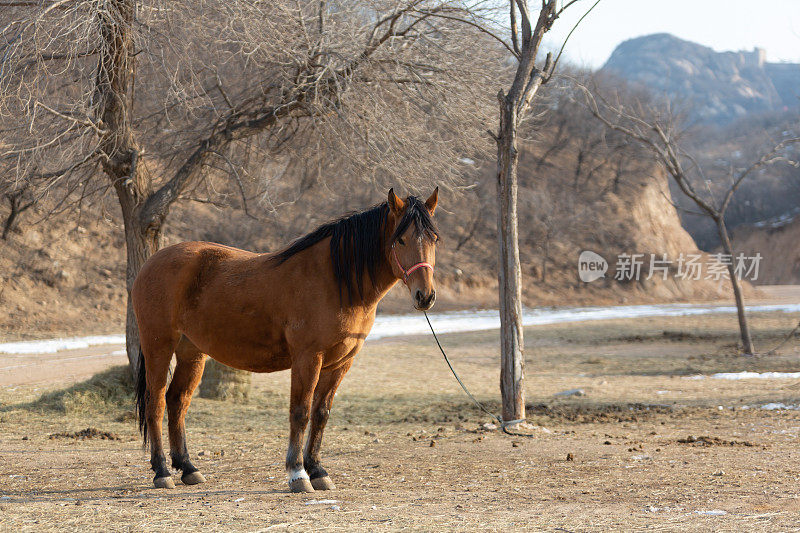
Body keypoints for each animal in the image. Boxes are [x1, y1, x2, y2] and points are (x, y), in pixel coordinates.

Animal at [130, 187, 438, 490]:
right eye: (401, 239)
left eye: (434, 239)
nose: (425, 296)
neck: (333, 280)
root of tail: (150, 263)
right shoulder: (307, 358)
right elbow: (300, 412)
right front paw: (298, 473)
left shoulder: (340, 363)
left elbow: (321, 413)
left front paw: (317, 470)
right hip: (159, 347)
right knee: (155, 402)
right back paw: (162, 472)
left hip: (192, 352)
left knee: (177, 400)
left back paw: (188, 468)